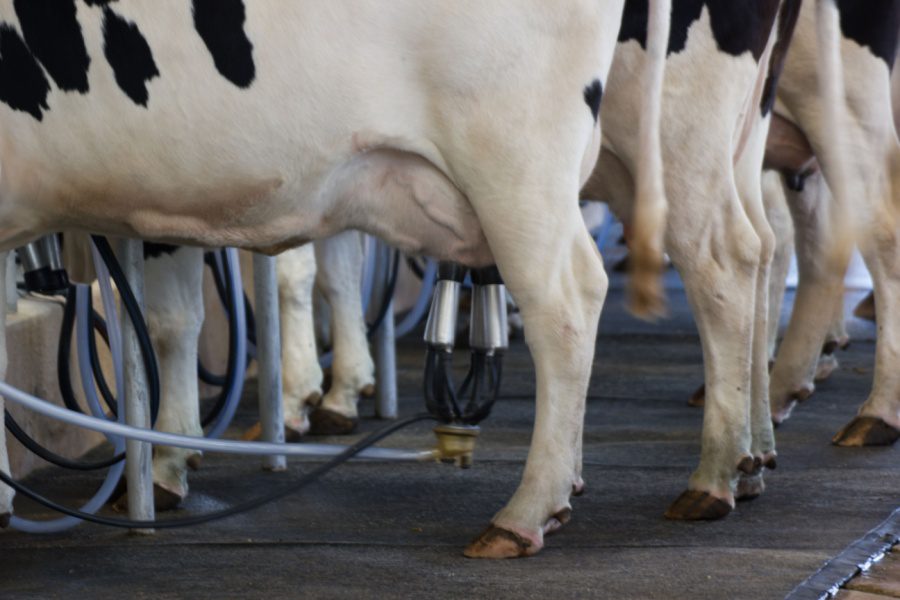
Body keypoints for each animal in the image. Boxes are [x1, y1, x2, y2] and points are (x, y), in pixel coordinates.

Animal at [0, 0, 676, 556]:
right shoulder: (157, 200)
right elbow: (172, 322)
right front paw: (168, 466)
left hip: (514, 158)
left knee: (566, 303)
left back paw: (526, 512)